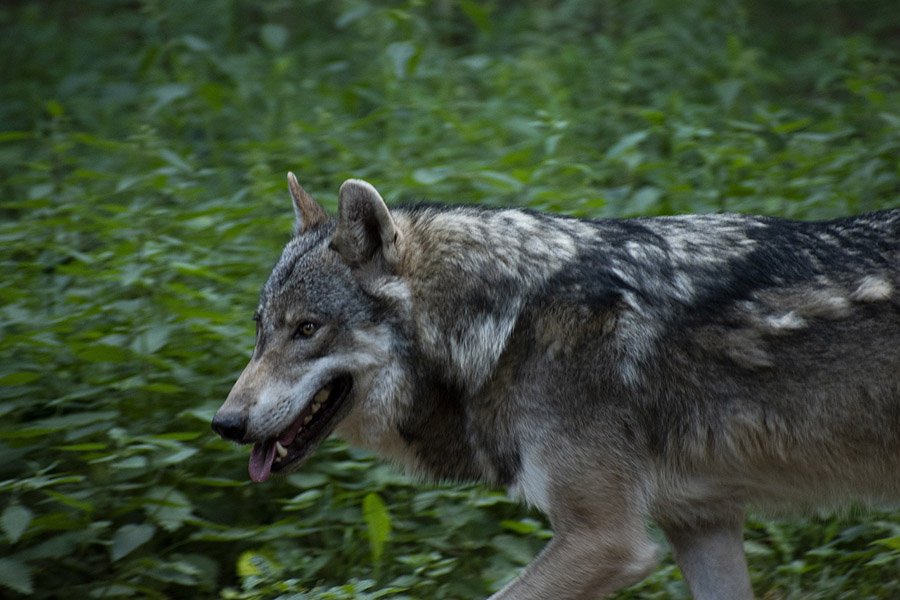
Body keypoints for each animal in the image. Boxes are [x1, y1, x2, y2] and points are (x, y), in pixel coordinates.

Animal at [213, 171, 900, 596]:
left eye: (307, 329)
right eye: (260, 329)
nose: (224, 424)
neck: (504, 330)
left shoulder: (605, 542)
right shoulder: (702, 524)